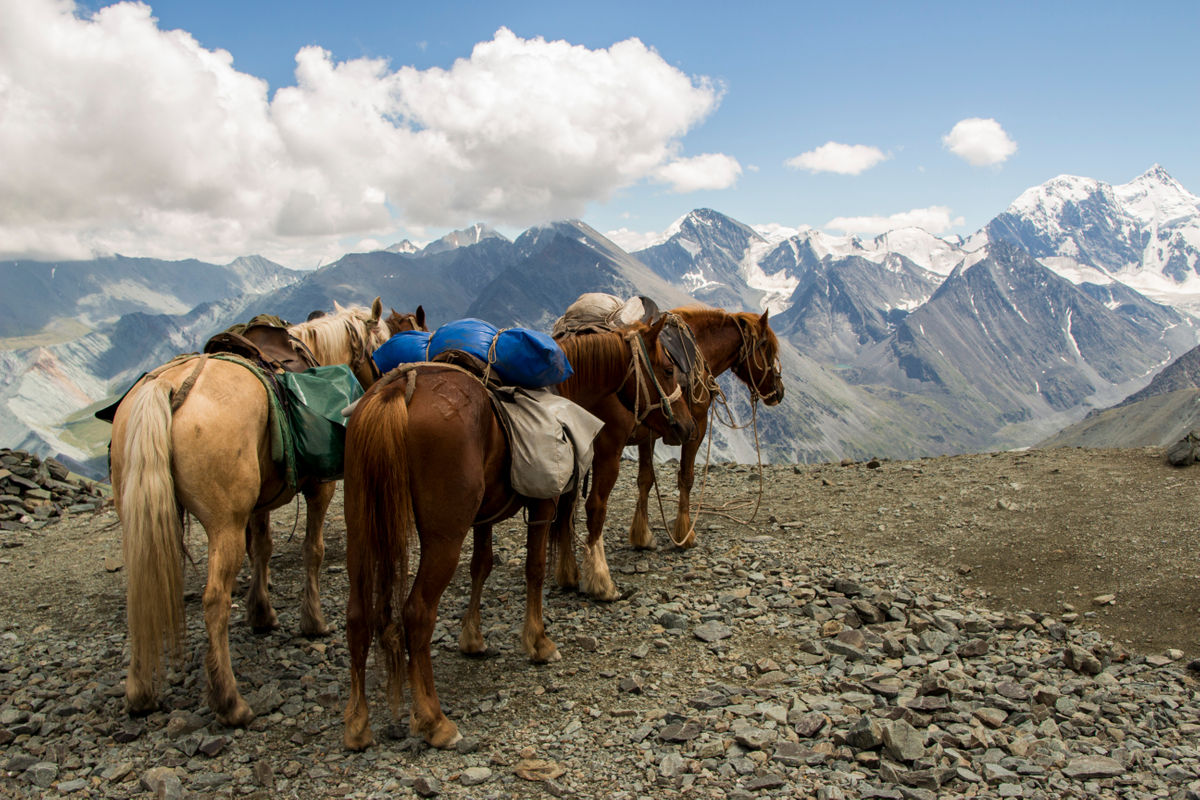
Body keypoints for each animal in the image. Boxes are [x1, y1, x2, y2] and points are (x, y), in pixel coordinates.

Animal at [109, 298, 396, 724]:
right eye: (381, 343)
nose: (381, 379)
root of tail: (169, 387)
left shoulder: (259, 502)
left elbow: (262, 548)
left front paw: (261, 614)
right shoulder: (320, 488)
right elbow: (313, 550)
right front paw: (313, 622)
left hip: (140, 521)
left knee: (141, 591)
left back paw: (140, 692)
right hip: (223, 524)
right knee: (214, 600)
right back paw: (230, 701)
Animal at [338, 316, 696, 753]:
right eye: (667, 369)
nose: (686, 426)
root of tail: (397, 392)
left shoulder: (483, 517)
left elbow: (482, 566)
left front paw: (472, 639)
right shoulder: (544, 503)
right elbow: (535, 569)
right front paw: (539, 642)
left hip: (361, 529)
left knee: (357, 615)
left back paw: (357, 724)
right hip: (443, 537)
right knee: (417, 614)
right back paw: (434, 720)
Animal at [552, 309, 787, 597]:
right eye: (767, 348)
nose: (778, 392)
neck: (700, 347)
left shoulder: (647, 436)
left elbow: (645, 480)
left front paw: (642, 536)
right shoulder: (697, 428)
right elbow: (686, 478)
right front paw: (685, 534)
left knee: (566, 504)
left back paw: (568, 572)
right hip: (608, 451)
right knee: (594, 505)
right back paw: (600, 580)